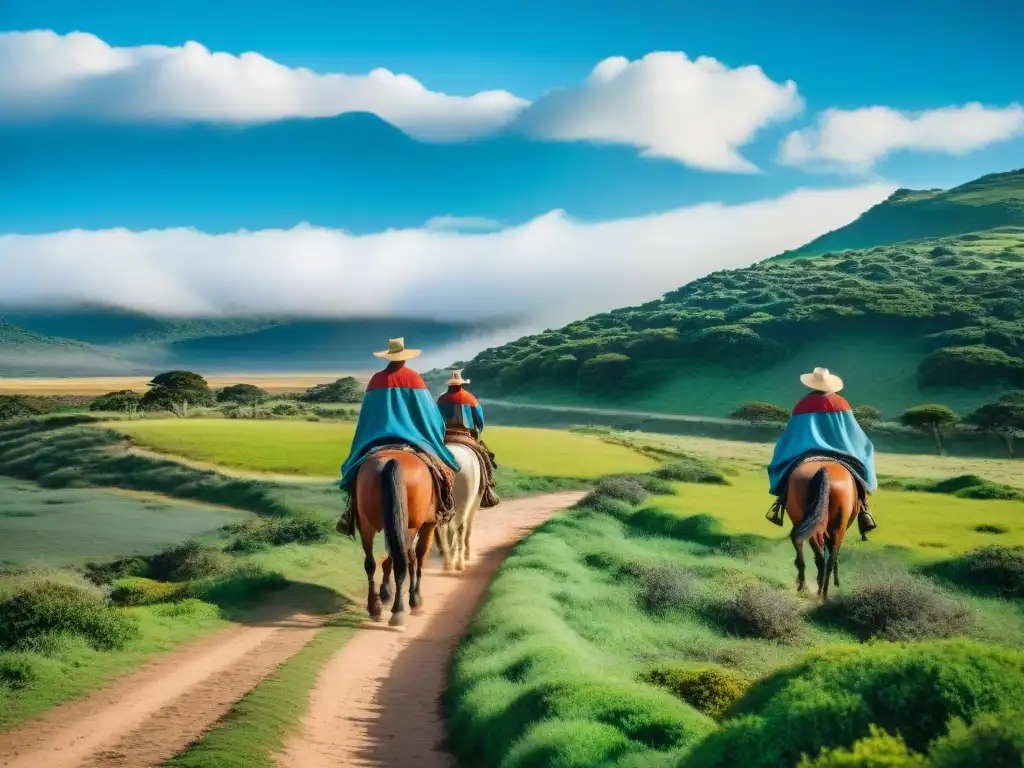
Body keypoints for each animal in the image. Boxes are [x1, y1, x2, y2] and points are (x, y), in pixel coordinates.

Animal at [354, 450, 450, 626]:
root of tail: (392, 461)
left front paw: (386, 591)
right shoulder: (429, 524)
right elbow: (419, 556)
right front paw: (415, 598)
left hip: (366, 522)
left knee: (371, 562)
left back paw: (375, 606)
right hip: (410, 524)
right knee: (407, 559)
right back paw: (400, 608)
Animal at [434, 442, 485, 573]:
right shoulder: (473, 504)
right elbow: (467, 530)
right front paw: (465, 554)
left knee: (443, 529)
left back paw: (447, 562)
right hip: (463, 504)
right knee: (460, 529)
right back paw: (458, 563)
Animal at [786, 460, 860, 598]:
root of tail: (824, 469)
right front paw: (836, 582)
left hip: (811, 527)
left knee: (814, 555)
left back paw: (810, 587)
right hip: (836, 530)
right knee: (828, 559)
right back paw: (821, 592)